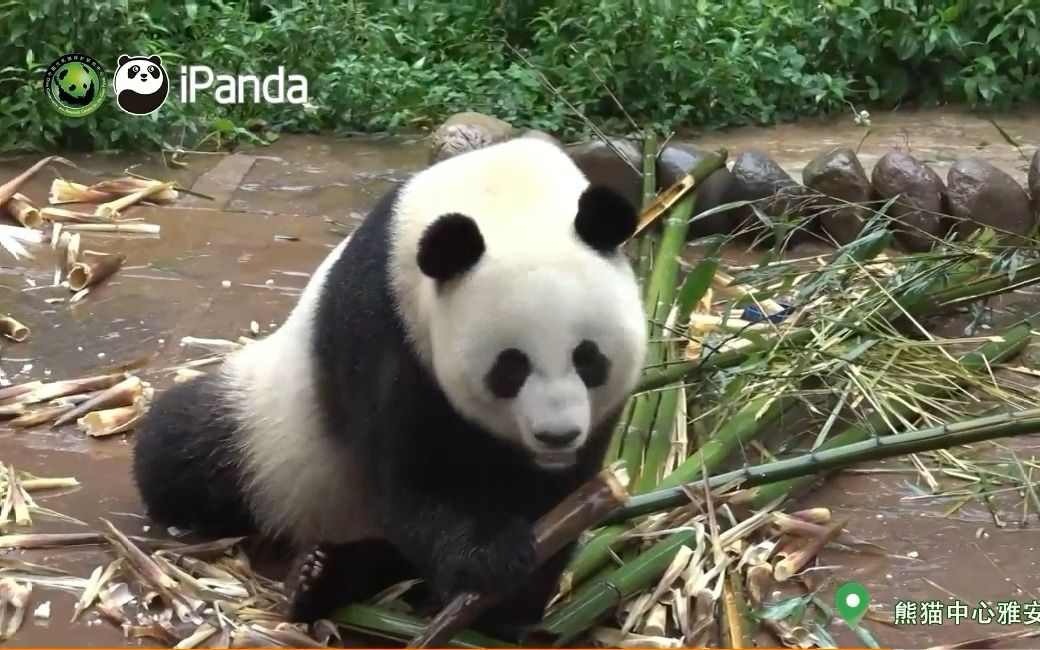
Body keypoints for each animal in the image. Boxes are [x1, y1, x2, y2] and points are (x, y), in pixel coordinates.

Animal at [132, 134, 648, 636]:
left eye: (588, 358)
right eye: (510, 367)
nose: (556, 435)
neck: (509, 200)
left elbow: (560, 495)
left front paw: (513, 612)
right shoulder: (388, 326)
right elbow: (415, 477)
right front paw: (493, 559)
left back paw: (323, 577)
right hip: (268, 437)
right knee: (181, 448)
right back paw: (312, 578)